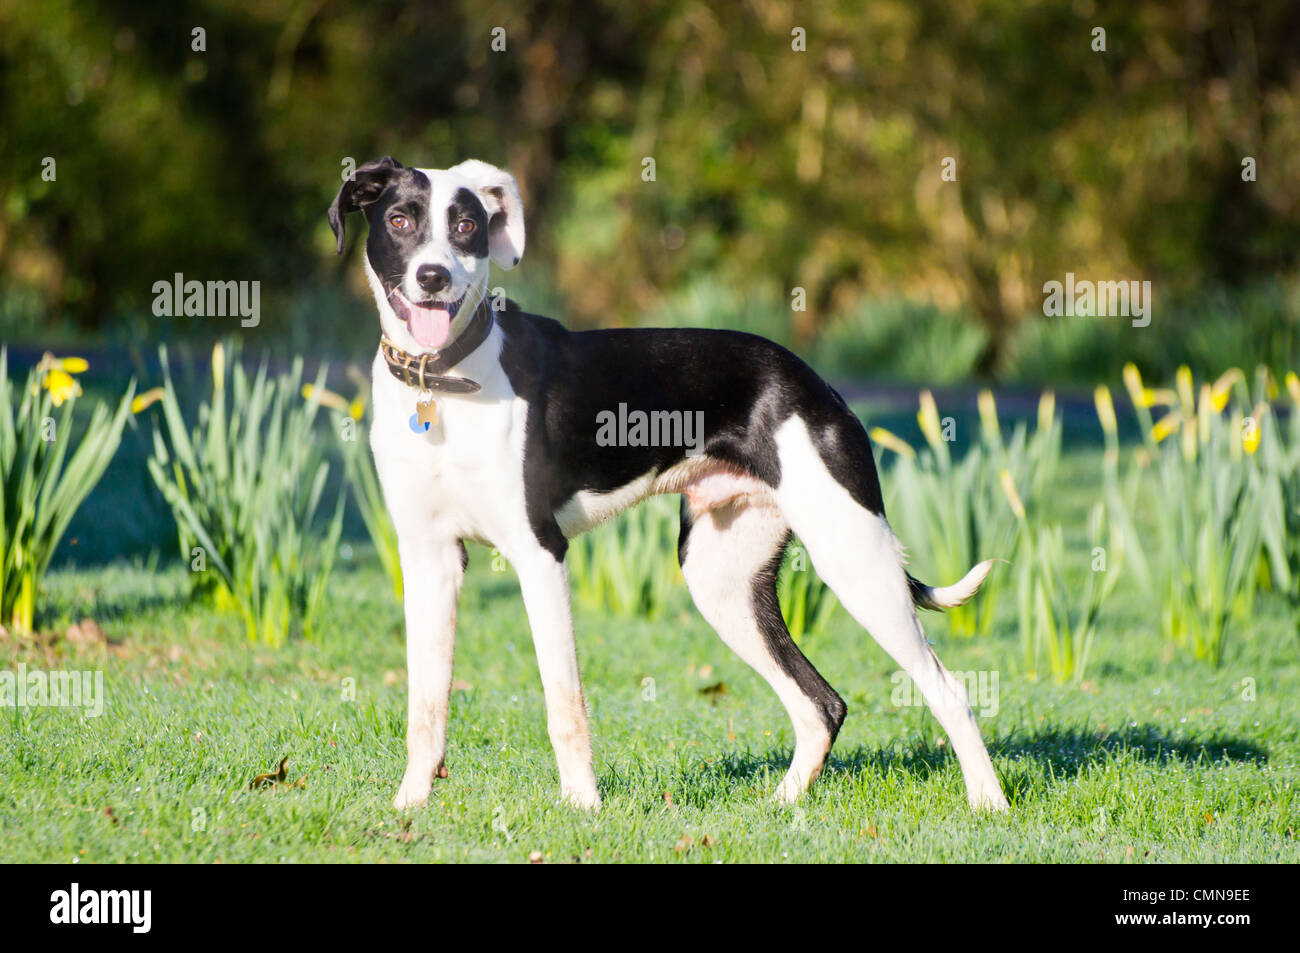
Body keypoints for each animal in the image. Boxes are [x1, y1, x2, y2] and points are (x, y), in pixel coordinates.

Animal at [330, 156, 1008, 811]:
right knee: (821, 704)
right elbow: (426, 705)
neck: (443, 382)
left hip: (854, 561)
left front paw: (582, 807)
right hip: (723, 577)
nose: (432, 278)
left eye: (466, 226)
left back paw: (989, 804)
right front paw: (410, 806)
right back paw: (781, 807)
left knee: (947, 689)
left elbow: (564, 703)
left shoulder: (540, 554)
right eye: (400, 220)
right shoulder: (430, 559)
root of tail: (816, 384)